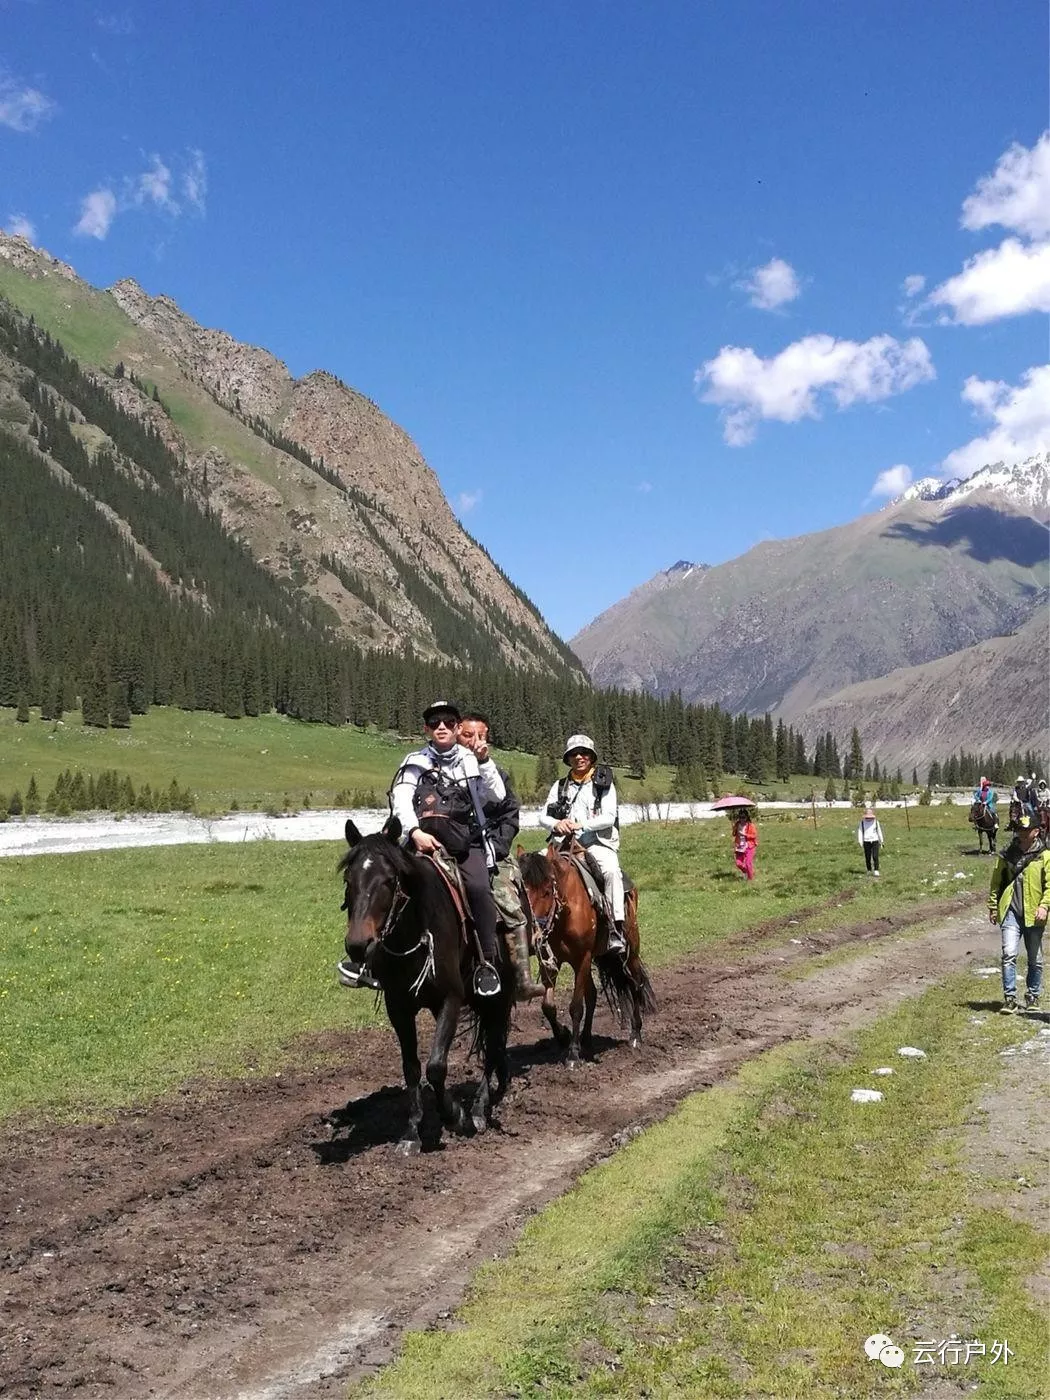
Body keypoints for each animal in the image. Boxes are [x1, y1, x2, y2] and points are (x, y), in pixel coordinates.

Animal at [515, 840, 655, 1058]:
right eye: (522, 892)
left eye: (547, 891)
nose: (534, 937)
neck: (565, 913)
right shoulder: (550, 960)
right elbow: (548, 1006)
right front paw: (563, 1037)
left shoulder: (582, 958)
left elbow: (576, 1007)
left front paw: (572, 1053)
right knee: (593, 995)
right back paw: (587, 1039)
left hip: (630, 951)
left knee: (635, 984)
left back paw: (635, 1035)